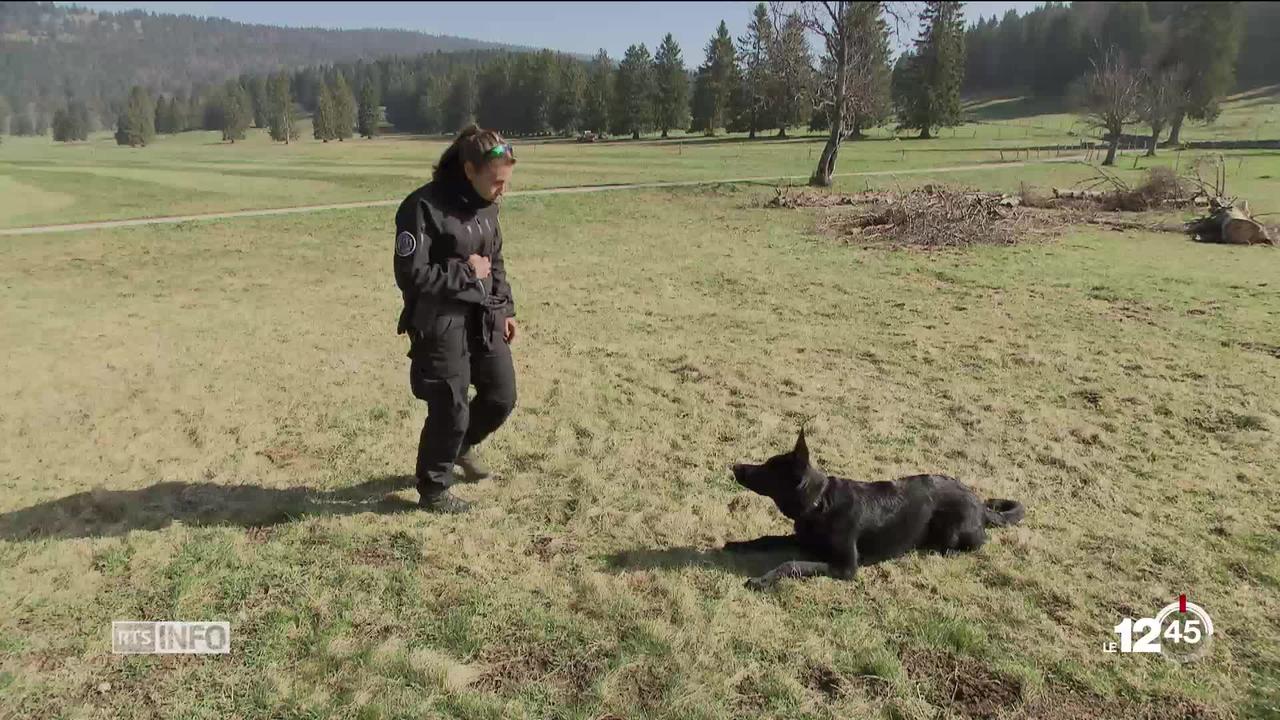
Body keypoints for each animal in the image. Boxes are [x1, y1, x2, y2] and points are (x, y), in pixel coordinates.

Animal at [727, 427, 1024, 586]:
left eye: (768, 468)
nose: (734, 466)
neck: (819, 504)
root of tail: (980, 503)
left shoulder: (845, 568)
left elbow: (792, 564)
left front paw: (763, 580)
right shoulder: (802, 540)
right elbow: (767, 539)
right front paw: (738, 544)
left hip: (954, 529)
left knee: (978, 541)